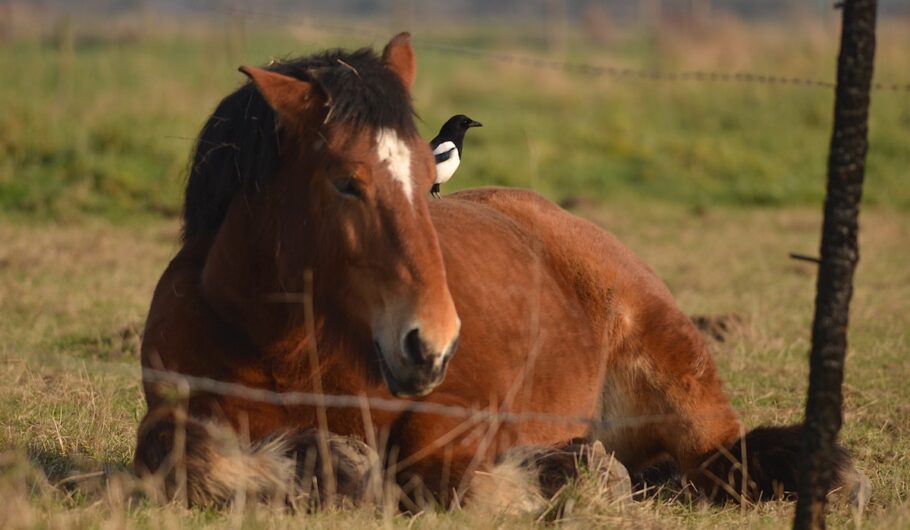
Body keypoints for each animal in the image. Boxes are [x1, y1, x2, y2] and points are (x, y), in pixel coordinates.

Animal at [134, 33, 862, 510]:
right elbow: (194, 460)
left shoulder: (456, 416)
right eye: (346, 182)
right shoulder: (169, 422)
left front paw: (566, 476)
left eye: (425, 173)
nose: (429, 343)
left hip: (677, 376)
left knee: (721, 460)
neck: (286, 345)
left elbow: (439, 476)